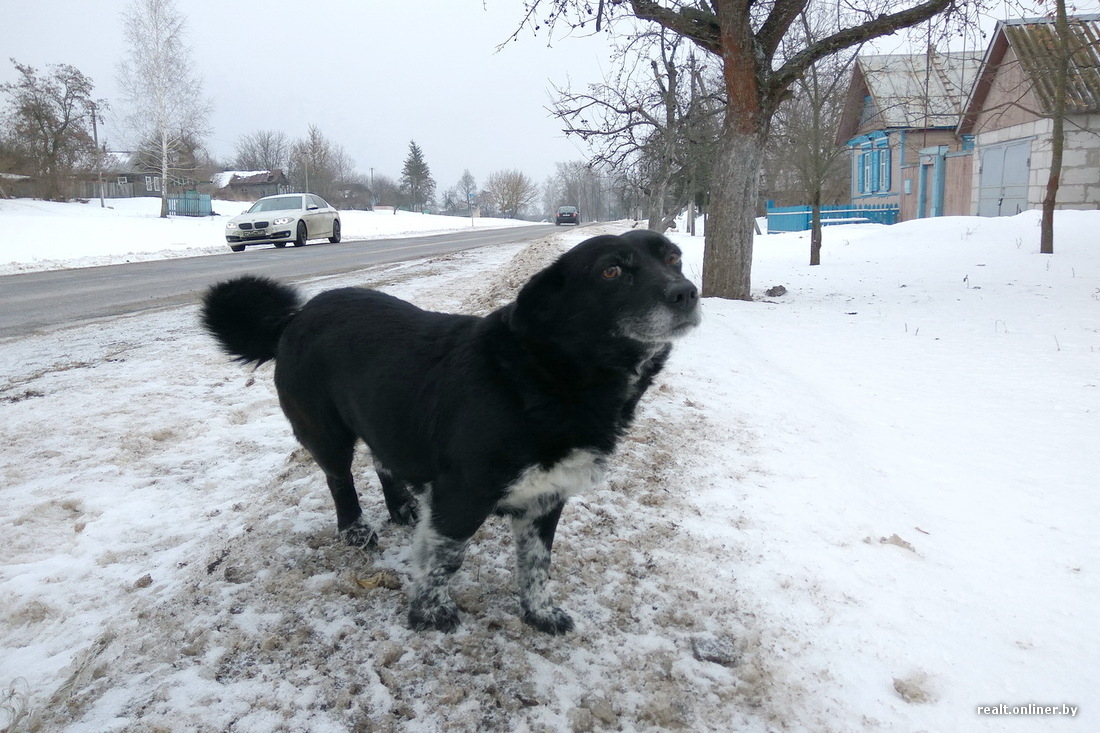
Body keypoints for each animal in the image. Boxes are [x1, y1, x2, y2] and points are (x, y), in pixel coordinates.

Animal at [202, 231, 699, 629]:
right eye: (612, 270)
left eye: (673, 257)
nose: (688, 293)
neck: (547, 375)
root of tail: (293, 318)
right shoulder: (462, 495)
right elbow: (447, 558)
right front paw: (430, 611)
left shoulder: (545, 497)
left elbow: (537, 564)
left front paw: (539, 612)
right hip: (325, 430)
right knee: (338, 478)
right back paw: (355, 530)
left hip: (385, 414)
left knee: (383, 459)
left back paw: (402, 506)